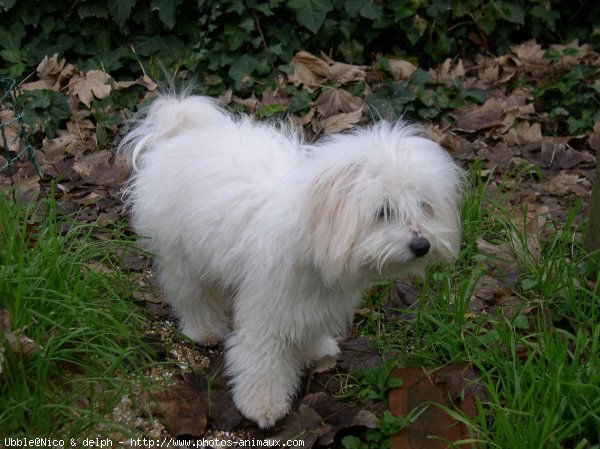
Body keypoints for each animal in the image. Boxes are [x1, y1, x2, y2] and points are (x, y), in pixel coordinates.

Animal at [118, 93, 464, 428]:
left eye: (424, 205)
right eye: (384, 211)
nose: (421, 245)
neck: (312, 234)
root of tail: (181, 132)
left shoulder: (313, 305)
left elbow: (309, 331)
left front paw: (315, 351)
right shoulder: (267, 311)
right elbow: (262, 361)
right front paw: (263, 405)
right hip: (181, 258)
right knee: (193, 296)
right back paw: (204, 331)